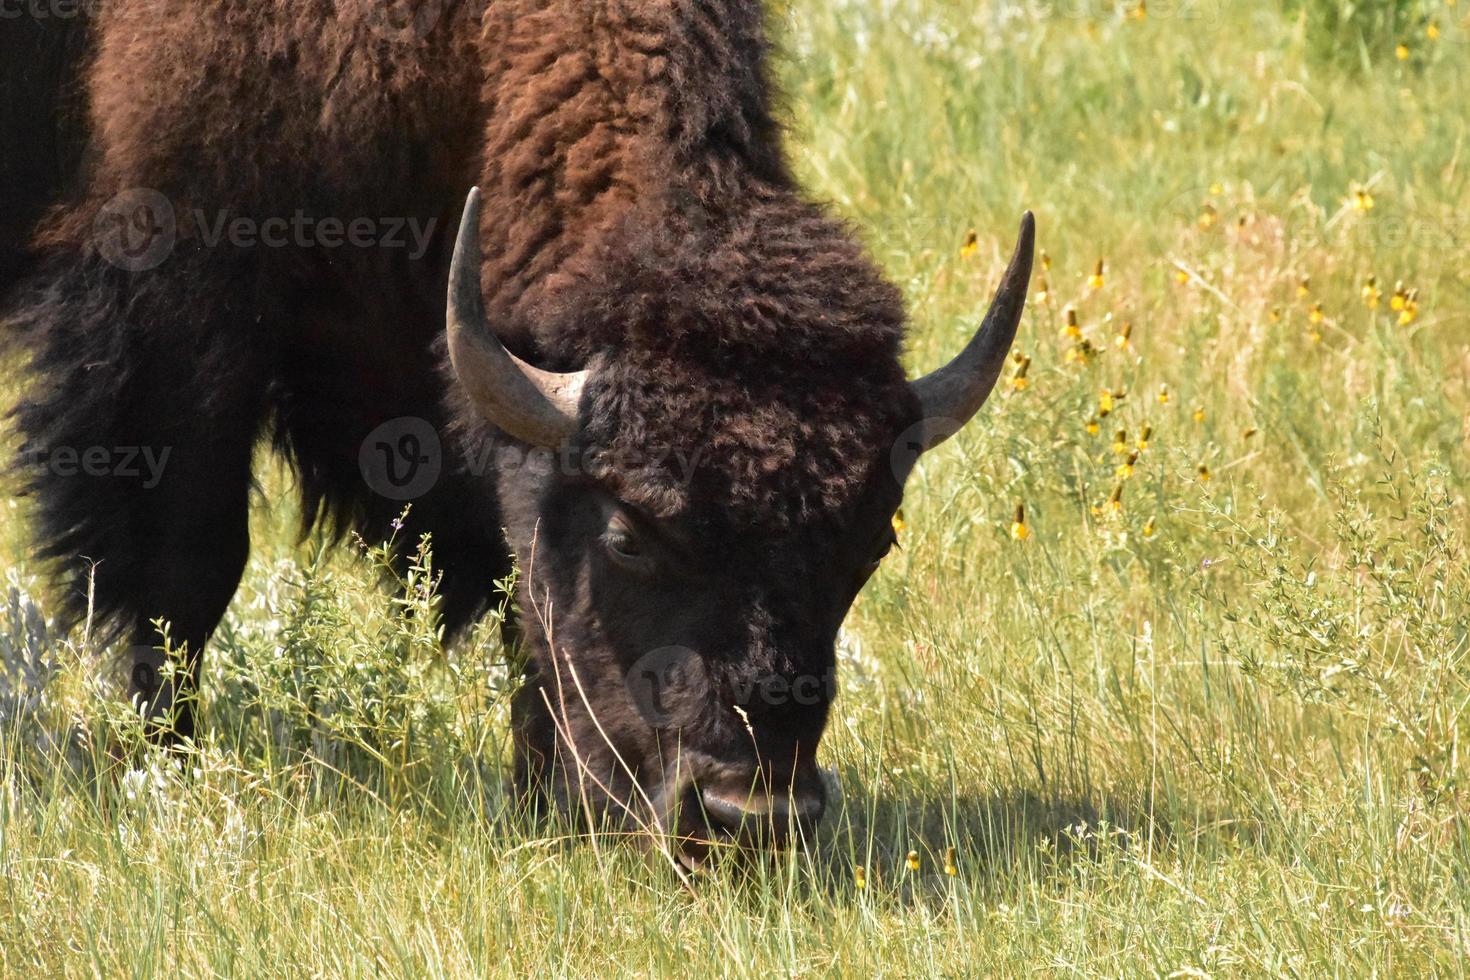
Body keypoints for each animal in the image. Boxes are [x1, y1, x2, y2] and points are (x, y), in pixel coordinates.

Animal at [2, 0, 1034, 863]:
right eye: (629, 535)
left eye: (873, 545)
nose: (751, 818)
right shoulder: (174, 310)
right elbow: (186, 571)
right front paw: (159, 777)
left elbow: (520, 593)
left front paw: (542, 805)